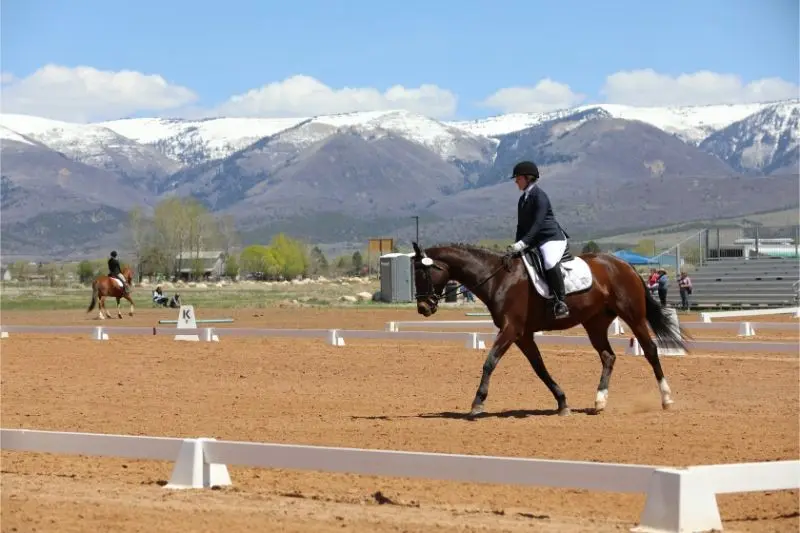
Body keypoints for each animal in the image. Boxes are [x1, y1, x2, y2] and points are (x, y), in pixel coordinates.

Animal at [412, 242, 688, 420]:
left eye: (424, 273)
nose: (423, 308)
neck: (498, 278)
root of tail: (625, 265)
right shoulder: (522, 335)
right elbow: (540, 368)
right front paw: (562, 403)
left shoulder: (511, 329)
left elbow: (490, 362)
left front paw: (477, 403)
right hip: (595, 323)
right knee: (608, 356)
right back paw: (599, 401)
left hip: (633, 315)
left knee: (650, 350)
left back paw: (666, 399)